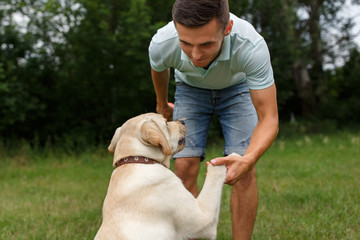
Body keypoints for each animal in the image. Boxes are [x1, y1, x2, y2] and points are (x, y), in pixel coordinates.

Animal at [94, 113, 226, 240]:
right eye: (166, 123)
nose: (182, 121)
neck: (139, 159)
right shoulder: (204, 219)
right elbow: (215, 174)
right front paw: (222, 162)